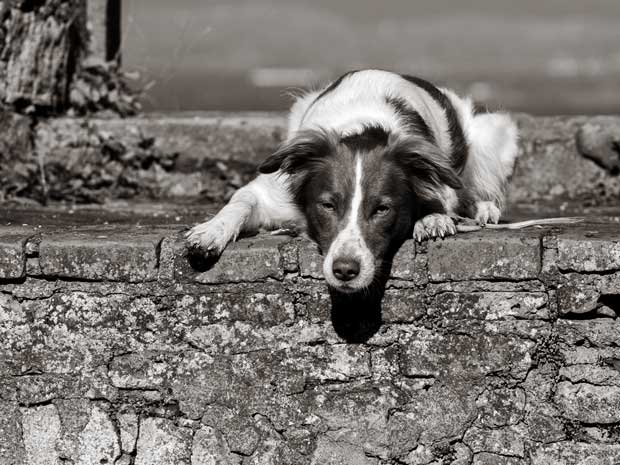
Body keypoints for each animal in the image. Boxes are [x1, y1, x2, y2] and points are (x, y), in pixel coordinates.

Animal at [185, 69, 520, 292]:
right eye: (327, 205)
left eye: (382, 209)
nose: (345, 271)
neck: (364, 130)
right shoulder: (275, 191)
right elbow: (240, 201)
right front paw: (211, 231)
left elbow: (441, 200)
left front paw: (432, 219)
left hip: (492, 132)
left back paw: (482, 209)